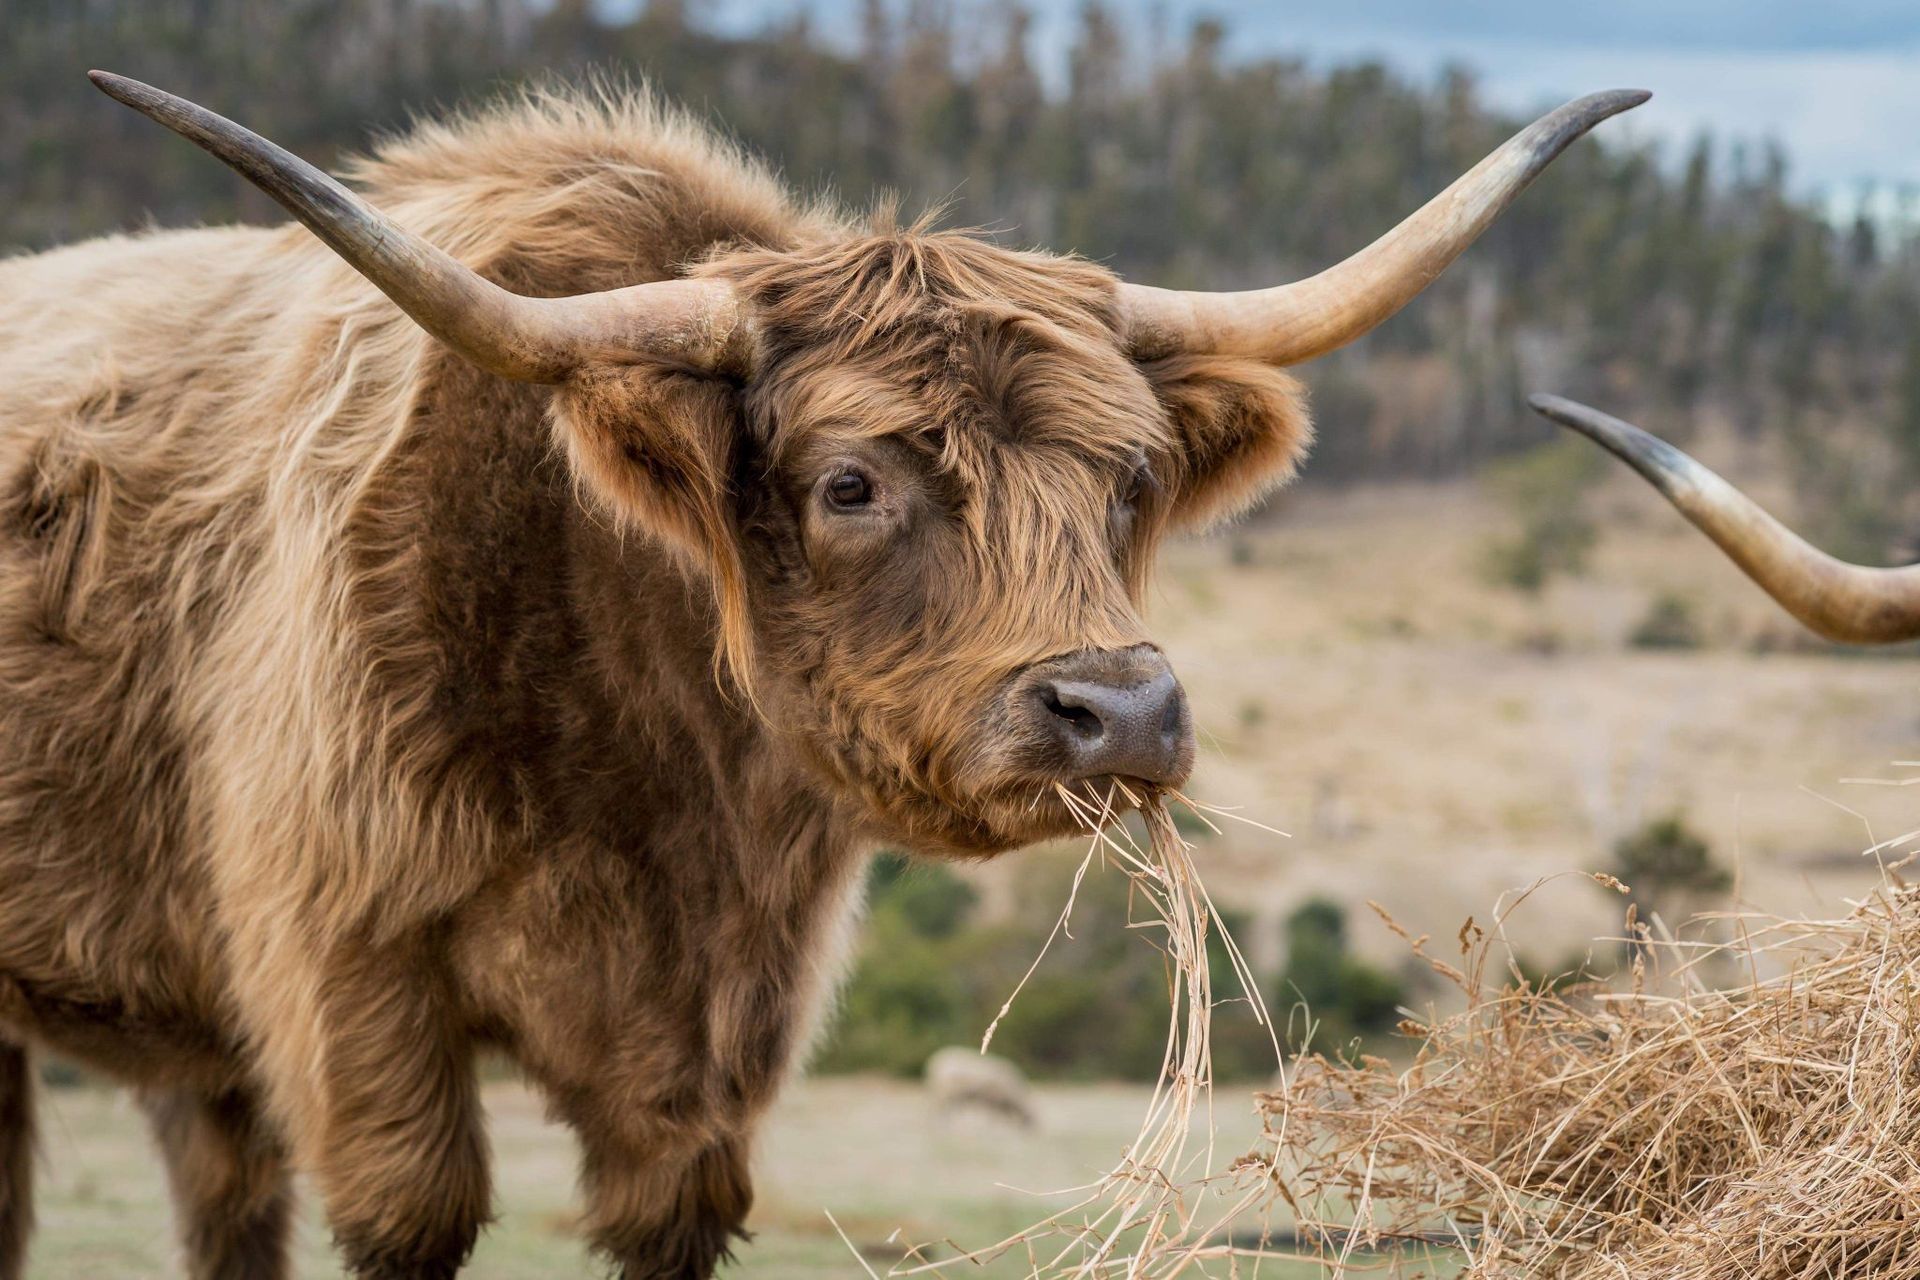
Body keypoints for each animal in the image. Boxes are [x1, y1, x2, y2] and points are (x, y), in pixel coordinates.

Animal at [0, 71, 1643, 1279]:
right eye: (852, 482)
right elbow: (410, 1211)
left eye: (1131, 478)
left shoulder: (712, 1044)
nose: (1117, 711)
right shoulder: (353, 979)